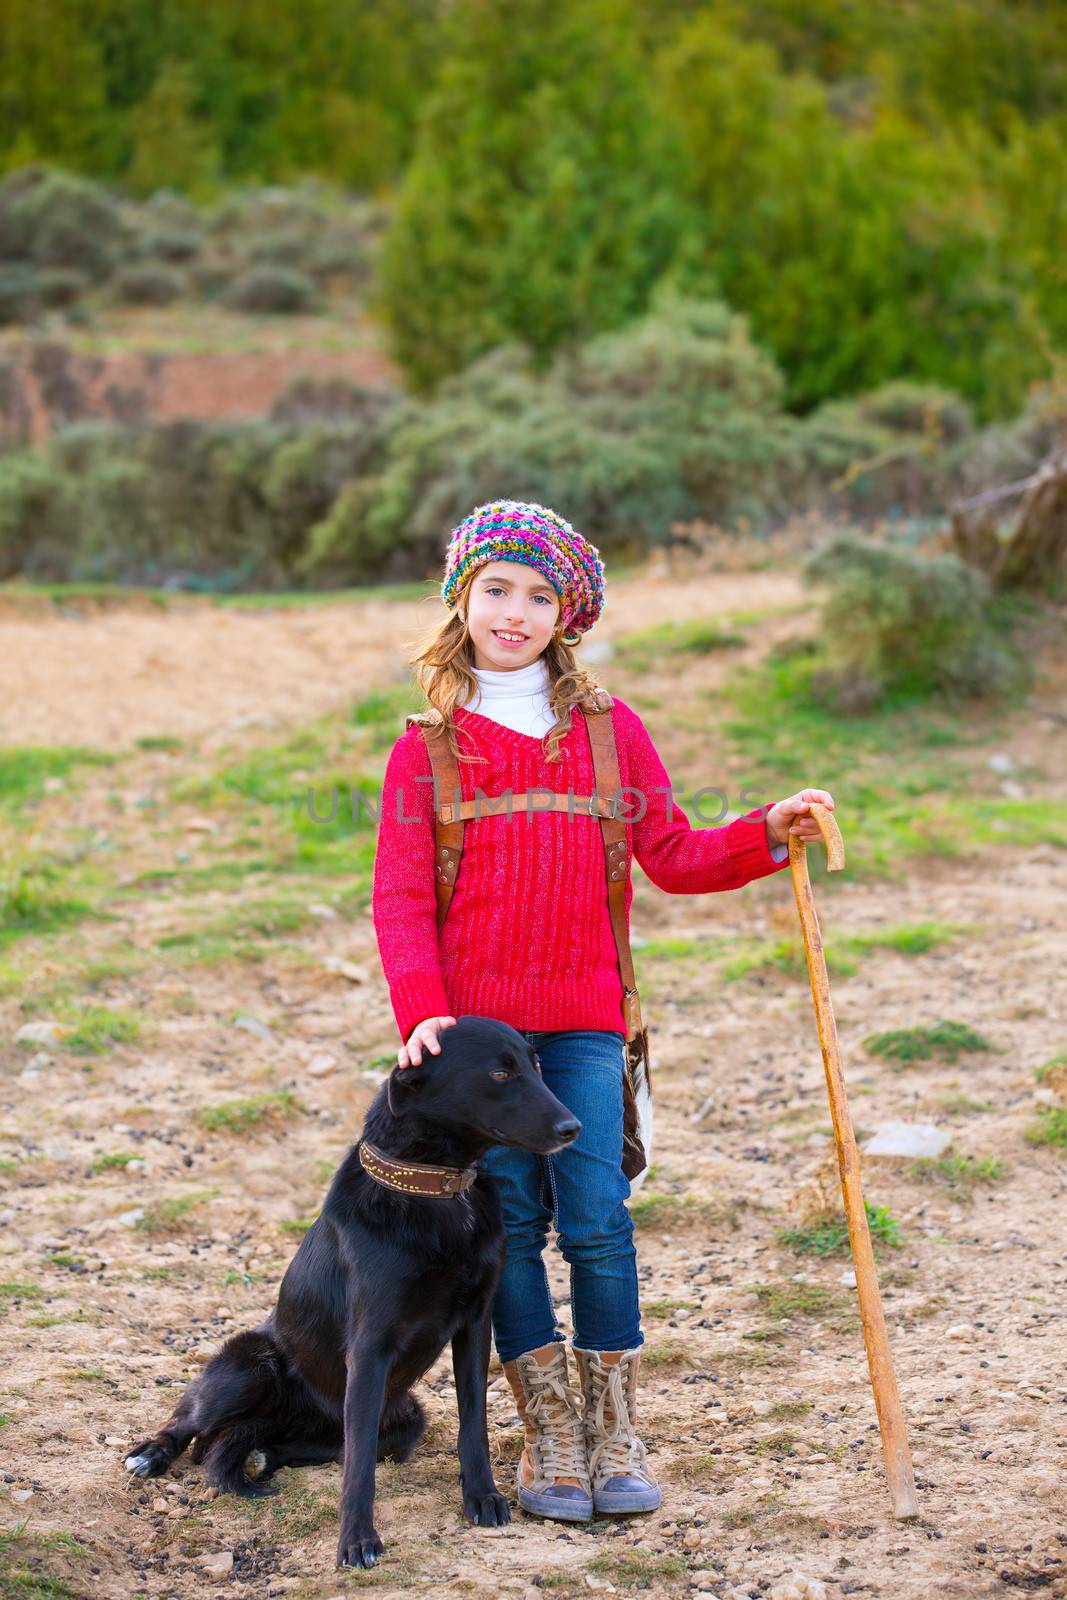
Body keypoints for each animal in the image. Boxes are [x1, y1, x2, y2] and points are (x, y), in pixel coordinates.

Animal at [123, 1017, 585, 1568]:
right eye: (499, 1073)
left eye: (536, 1067)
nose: (574, 1128)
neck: (437, 1190)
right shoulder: (369, 1348)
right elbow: (360, 1464)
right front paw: (357, 1539)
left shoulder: (475, 1328)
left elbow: (470, 1422)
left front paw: (482, 1496)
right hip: (248, 1365)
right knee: (191, 1417)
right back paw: (152, 1453)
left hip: (403, 1420)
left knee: (298, 1446)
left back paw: (257, 1453)